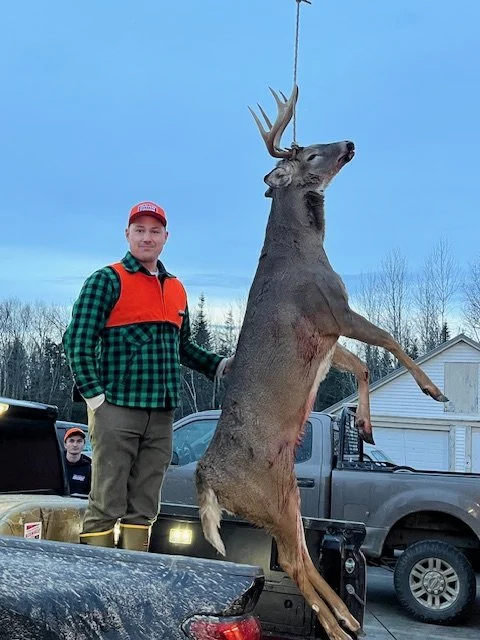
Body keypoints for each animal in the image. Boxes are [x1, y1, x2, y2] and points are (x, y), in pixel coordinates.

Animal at [195, 85, 448, 640]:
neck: (305, 250)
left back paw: (345, 617)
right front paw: (433, 390)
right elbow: (391, 340)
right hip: (268, 494)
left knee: (307, 557)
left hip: (286, 495)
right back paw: (335, 626)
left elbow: (364, 367)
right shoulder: (332, 308)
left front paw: (369, 429)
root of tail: (205, 479)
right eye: (310, 154)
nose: (349, 142)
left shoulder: (329, 338)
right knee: (293, 561)